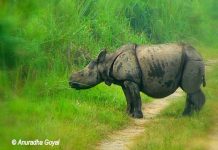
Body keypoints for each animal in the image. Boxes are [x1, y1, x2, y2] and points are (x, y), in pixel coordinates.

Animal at [68, 43, 206, 118]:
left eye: (83, 74)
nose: (70, 81)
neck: (106, 62)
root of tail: (200, 55)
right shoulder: (124, 81)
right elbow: (128, 98)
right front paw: (127, 114)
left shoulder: (131, 80)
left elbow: (136, 97)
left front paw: (138, 116)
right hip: (191, 60)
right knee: (191, 90)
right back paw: (187, 115)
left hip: (192, 61)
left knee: (190, 90)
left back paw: (193, 116)